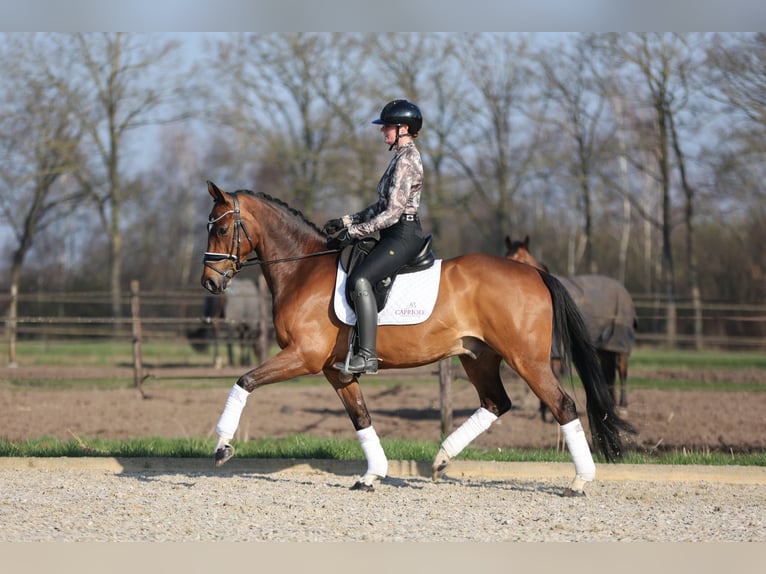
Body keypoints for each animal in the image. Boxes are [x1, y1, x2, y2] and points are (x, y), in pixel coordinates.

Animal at [508, 236, 640, 416]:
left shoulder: (556, 349)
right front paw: (544, 410)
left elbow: (555, 375)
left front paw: (549, 413)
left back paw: (623, 406)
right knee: (609, 374)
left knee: (622, 371)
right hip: (604, 347)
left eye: (521, 260)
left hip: (619, 343)